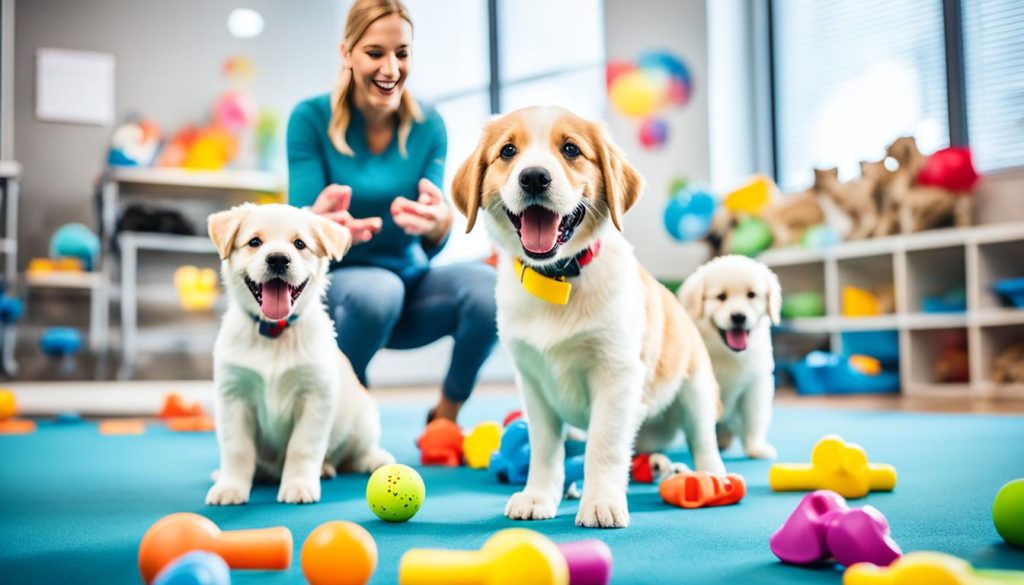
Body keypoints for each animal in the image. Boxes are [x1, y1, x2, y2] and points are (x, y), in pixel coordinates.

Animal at [203, 203, 391, 506]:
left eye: (299, 244)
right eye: (254, 242)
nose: (278, 259)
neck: (274, 332)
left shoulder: (315, 396)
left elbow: (302, 447)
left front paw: (298, 485)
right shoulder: (233, 396)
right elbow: (237, 449)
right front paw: (230, 486)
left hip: (363, 417)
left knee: (355, 453)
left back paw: (371, 460)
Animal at [679, 256, 782, 463]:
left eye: (751, 295)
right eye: (721, 297)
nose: (738, 317)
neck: (728, 354)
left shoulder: (756, 384)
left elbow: (754, 418)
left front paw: (756, 448)